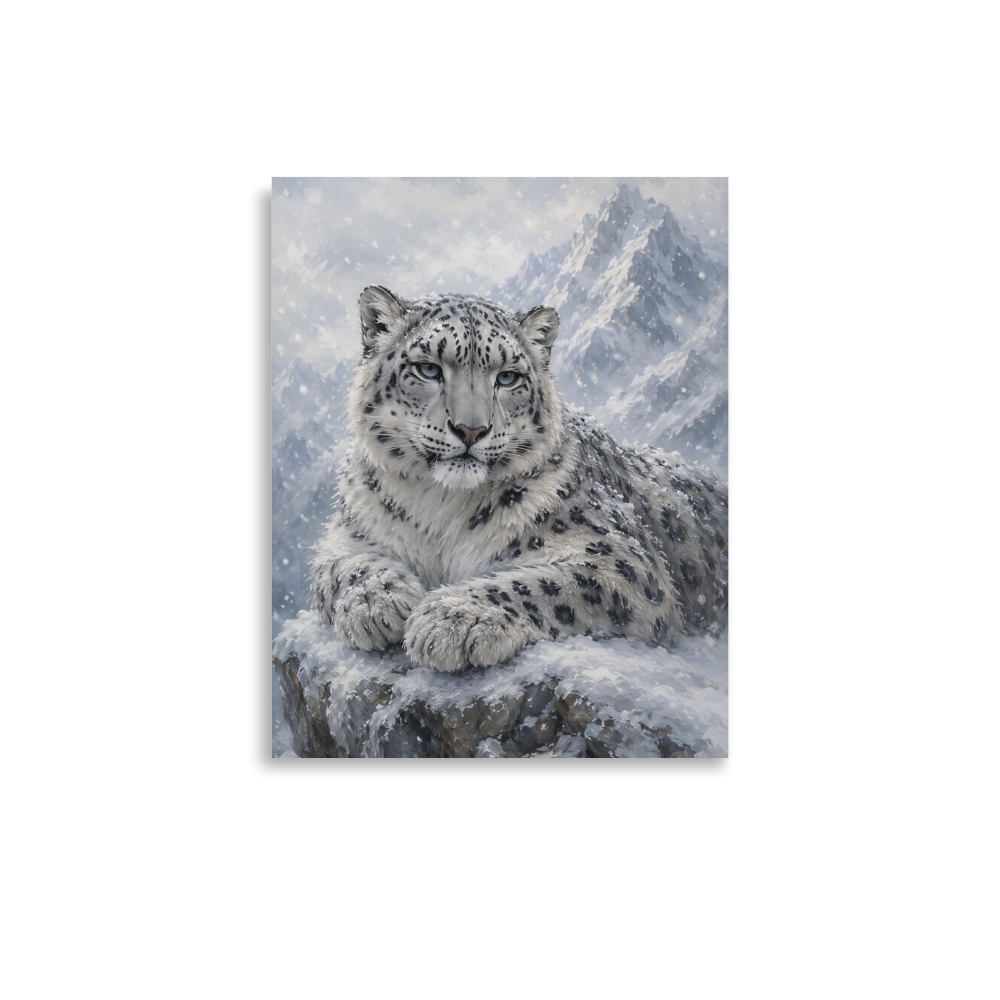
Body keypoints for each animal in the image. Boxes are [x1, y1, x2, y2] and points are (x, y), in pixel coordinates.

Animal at [310, 285, 729, 673]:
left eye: (508, 377)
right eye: (428, 368)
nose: (471, 429)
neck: (438, 508)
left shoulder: (622, 561)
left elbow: (545, 583)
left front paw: (452, 618)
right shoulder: (348, 534)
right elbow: (342, 567)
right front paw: (375, 604)